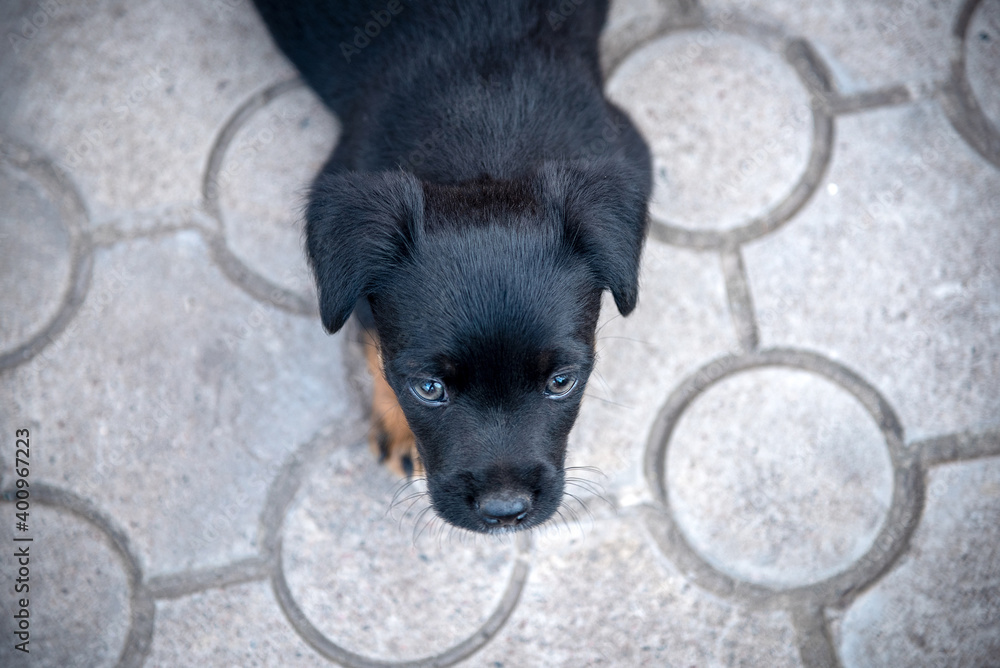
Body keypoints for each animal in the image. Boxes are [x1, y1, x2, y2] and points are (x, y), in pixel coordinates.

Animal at [254, 0, 652, 532]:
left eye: (561, 382)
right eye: (428, 389)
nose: (504, 512)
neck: (487, 132)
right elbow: (372, 340)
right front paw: (400, 427)